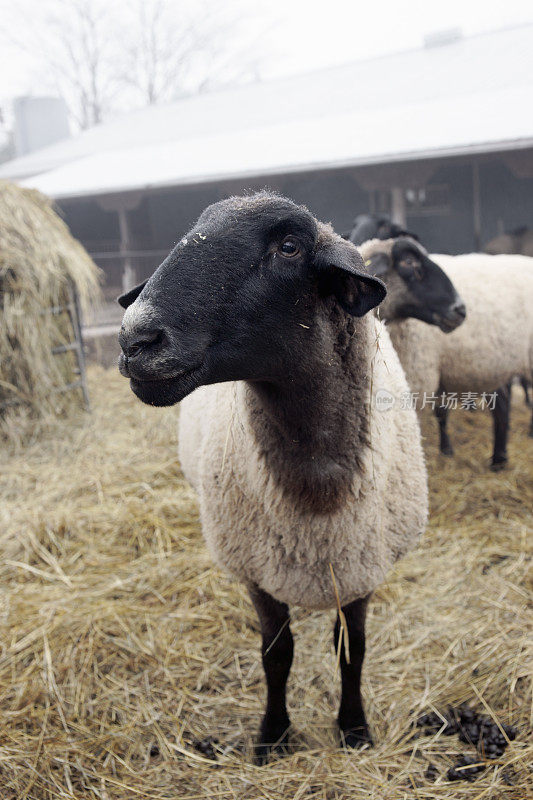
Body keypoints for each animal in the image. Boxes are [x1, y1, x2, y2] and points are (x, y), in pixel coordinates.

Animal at [117, 192, 428, 764]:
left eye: (288, 247)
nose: (136, 339)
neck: (317, 488)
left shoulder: (362, 566)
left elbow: (352, 650)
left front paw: (354, 729)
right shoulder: (256, 570)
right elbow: (276, 653)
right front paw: (273, 735)